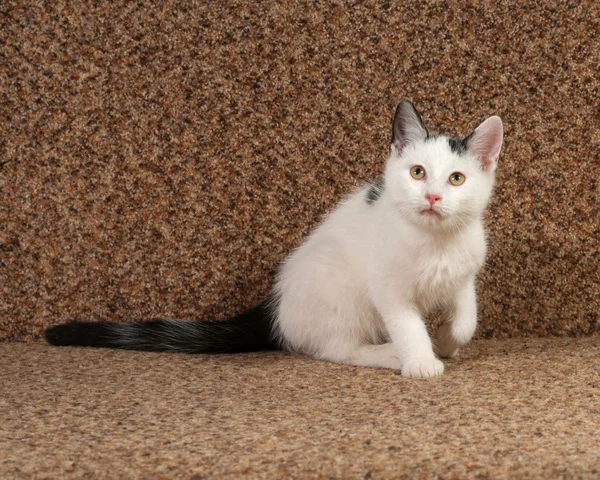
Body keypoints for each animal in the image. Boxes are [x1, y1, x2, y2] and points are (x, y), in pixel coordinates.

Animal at [45, 100, 502, 378]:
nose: (432, 196)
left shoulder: (465, 273)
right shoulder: (386, 287)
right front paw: (421, 358)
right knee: (338, 349)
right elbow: (407, 324)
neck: (435, 242)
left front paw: (447, 341)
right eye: (418, 172)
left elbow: (467, 317)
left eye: (456, 179)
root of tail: (276, 306)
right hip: (337, 290)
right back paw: (388, 353)